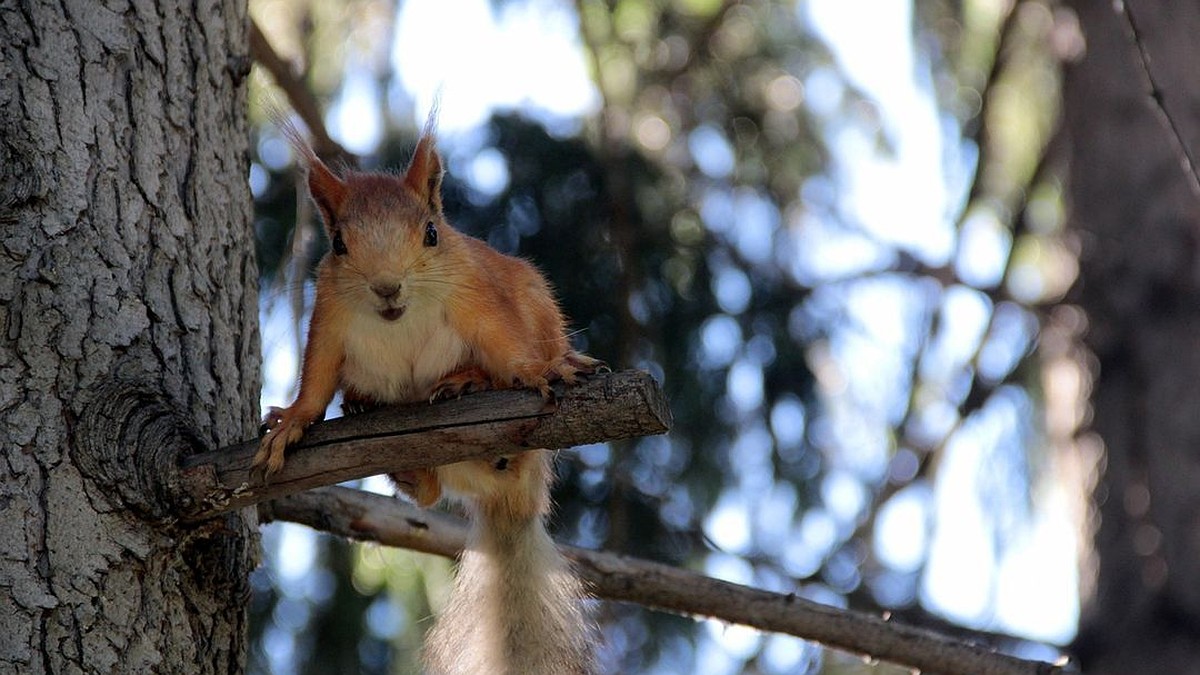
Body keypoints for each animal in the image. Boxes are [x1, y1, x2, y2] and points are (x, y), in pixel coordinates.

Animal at [258, 107, 604, 667]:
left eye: (431, 234)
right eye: (339, 244)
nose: (386, 288)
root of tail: (516, 507)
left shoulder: (477, 295)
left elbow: (507, 345)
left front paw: (541, 371)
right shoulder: (329, 317)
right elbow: (317, 379)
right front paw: (292, 422)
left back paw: (466, 382)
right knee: (431, 492)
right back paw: (383, 435)